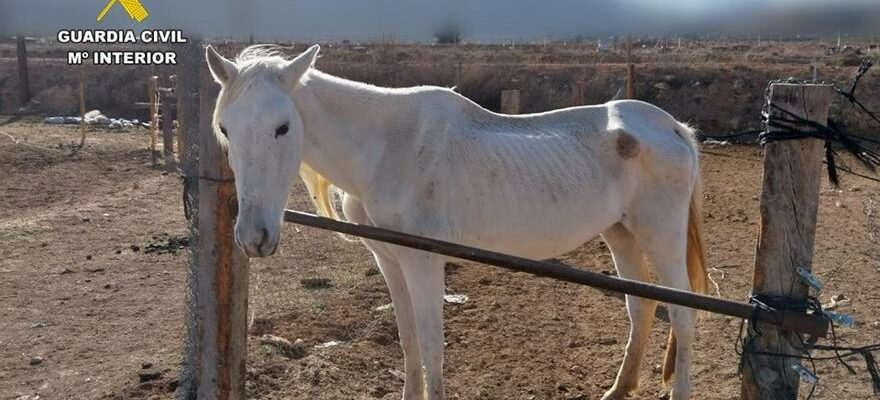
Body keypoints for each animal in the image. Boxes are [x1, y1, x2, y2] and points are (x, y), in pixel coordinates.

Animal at [205, 44, 708, 400]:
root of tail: (672, 127)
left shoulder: (424, 263)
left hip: (660, 236)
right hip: (620, 234)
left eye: (283, 127)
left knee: (682, 314)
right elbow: (408, 341)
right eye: (225, 128)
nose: (253, 238)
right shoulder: (391, 262)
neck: (388, 150)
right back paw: (618, 389)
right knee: (641, 306)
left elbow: (431, 347)